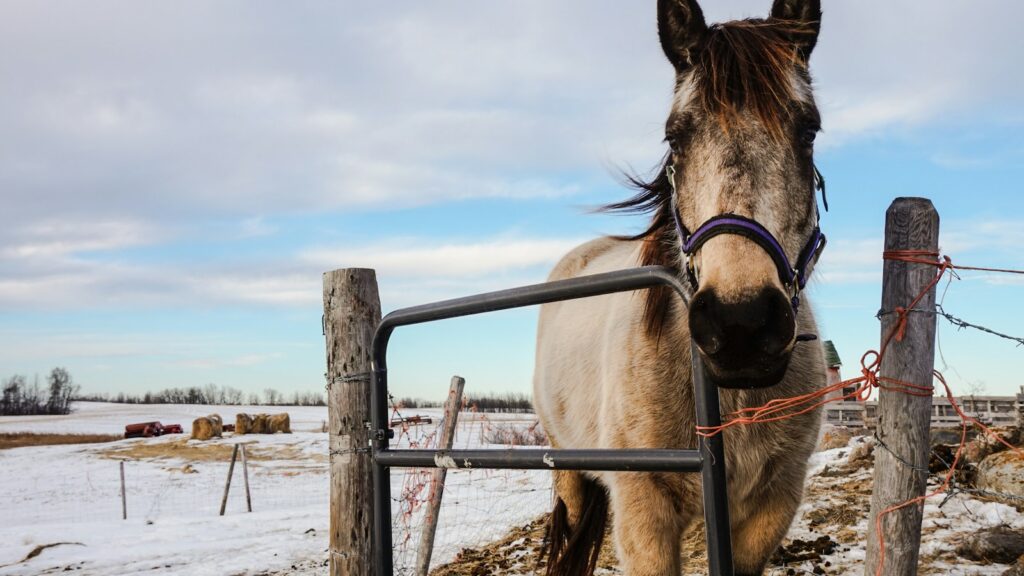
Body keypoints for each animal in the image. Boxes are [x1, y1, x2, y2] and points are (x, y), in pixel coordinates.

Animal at [533, 1, 828, 574]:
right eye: (675, 137)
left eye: (808, 131)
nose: (740, 324)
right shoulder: (643, 513)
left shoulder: (772, 505)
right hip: (569, 473)